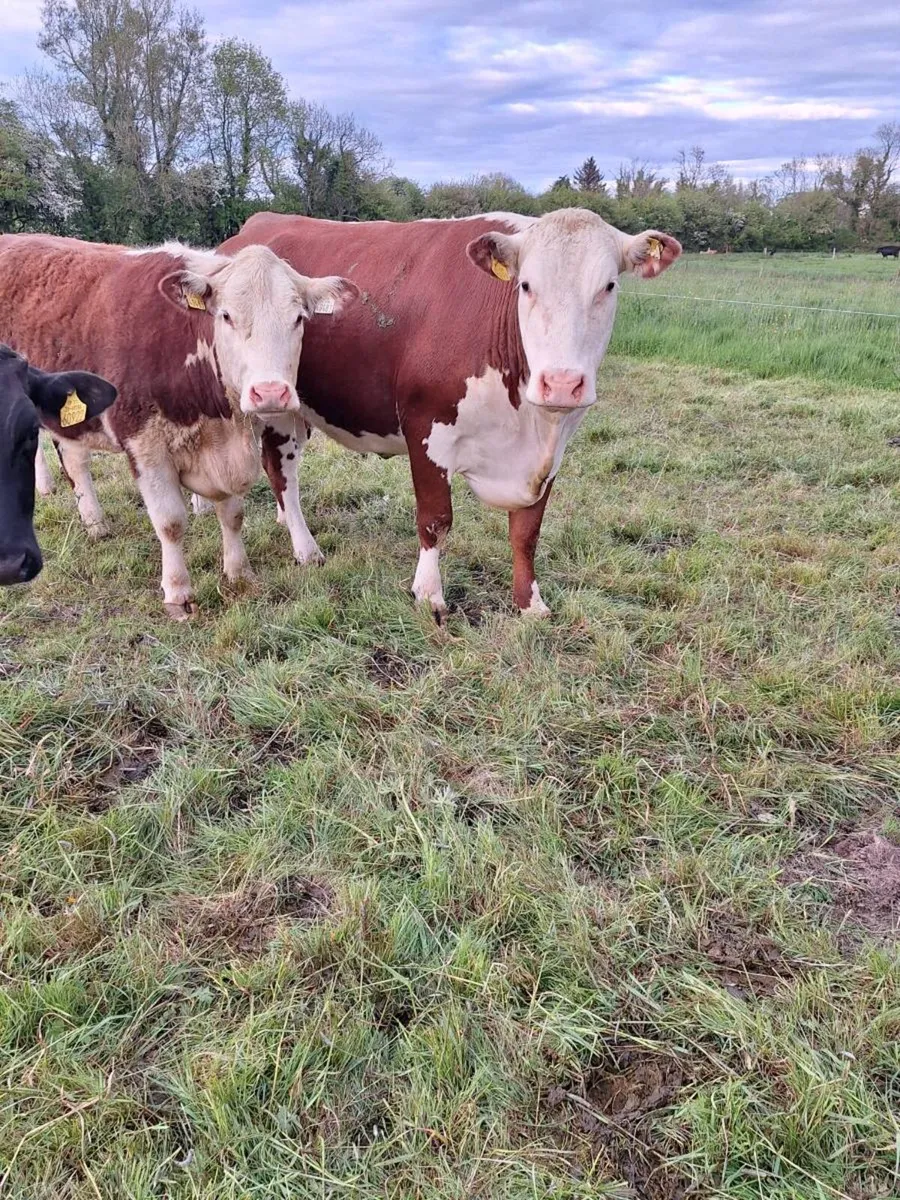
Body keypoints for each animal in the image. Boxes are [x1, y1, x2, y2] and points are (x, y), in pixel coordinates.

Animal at [217, 209, 681, 617]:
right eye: (526, 286)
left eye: (609, 286)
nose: (562, 382)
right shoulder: (427, 430)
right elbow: (435, 520)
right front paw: (429, 595)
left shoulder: (551, 453)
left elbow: (527, 531)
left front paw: (530, 604)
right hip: (273, 400)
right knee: (281, 472)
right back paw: (305, 547)